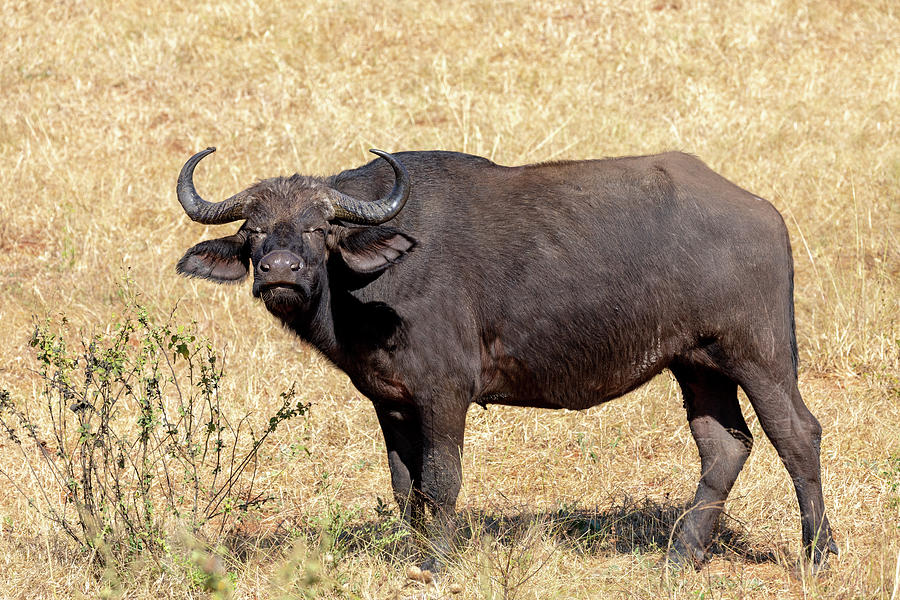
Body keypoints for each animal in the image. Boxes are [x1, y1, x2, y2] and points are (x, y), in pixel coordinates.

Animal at [174, 146, 836, 572]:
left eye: (319, 228)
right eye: (254, 230)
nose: (278, 271)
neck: (372, 284)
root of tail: (763, 212)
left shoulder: (444, 395)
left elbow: (441, 480)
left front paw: (436, 564)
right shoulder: (390, 403)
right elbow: (405, 486)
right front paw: (415, 553)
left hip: (759, 355)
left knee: (797, 435)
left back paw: (818, 554)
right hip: (697, 365)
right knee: (725, 446)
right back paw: (680, 554)